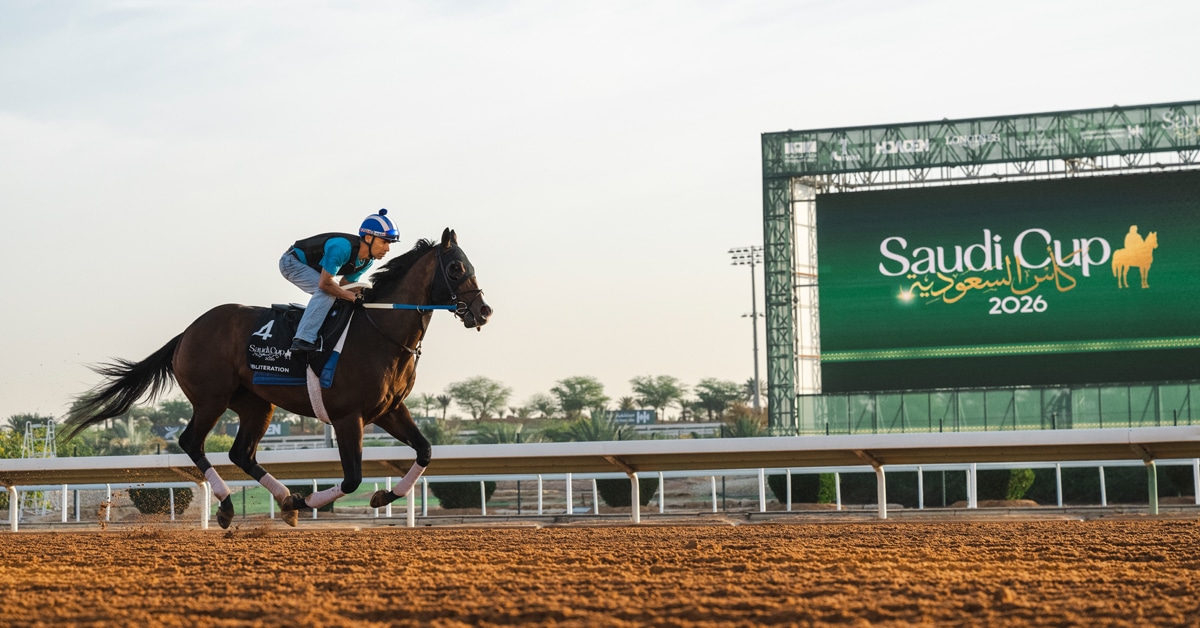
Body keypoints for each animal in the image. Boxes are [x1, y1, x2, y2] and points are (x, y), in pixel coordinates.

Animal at [62, 228, 492, 528]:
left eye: (470, 266)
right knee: (191, 442)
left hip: (256, 404)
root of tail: (186, 333)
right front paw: (307, 500)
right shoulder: (347, 417)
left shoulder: (389, 410)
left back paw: (282, 499)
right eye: (456, 268)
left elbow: (425, 451)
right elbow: (352, 479)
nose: (483, 311)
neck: (379, 330)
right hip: (212, 399)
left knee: (241, 453)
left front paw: (382, 498)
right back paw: (230, 505)